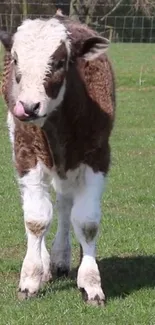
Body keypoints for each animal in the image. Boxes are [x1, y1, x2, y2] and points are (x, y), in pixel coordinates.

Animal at [0, 12, 115, 306]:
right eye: (16, 59)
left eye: (60, 62)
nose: (28, 107)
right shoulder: (26, 153)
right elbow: (36, 219)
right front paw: (30, 279)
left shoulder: (98, 156)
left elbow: (86, 222)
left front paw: (90, 283)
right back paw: (44, 264)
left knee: (64, 205)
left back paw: (61, 258)